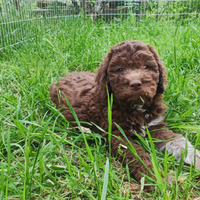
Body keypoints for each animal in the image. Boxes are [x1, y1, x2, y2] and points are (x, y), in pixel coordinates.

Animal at [50, 40, 200, 189]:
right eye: (120, 69)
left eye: (146, 66)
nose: (135, 83)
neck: (136, 108)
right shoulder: (117, 134)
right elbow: (136, 155)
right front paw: (155, 179)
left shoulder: (156, 126)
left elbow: (179, 141)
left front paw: (196, 160)